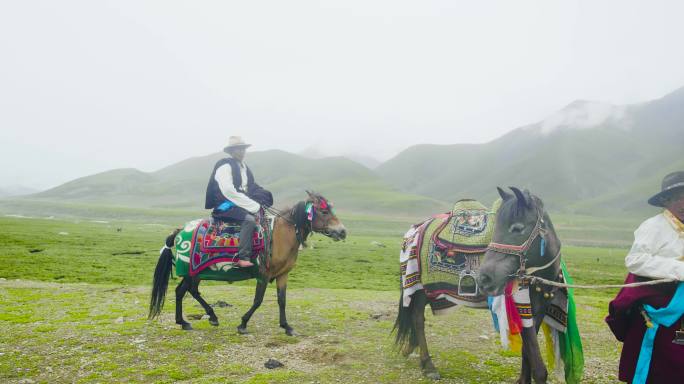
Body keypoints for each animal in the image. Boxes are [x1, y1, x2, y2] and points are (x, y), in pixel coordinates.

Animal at [147, 190, 344, 334]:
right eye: (324, 211)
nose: (343, 231)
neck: (281, 236)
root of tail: (180, 230)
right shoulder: (263, 274)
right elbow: (258, 300)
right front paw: (243, 324)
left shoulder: (282, 275)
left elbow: (282, 300)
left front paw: (287, 327)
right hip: (190, 272)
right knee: (182, 291)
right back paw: (184, 322)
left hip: (196, 273)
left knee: (191, 291)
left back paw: (208, 318)